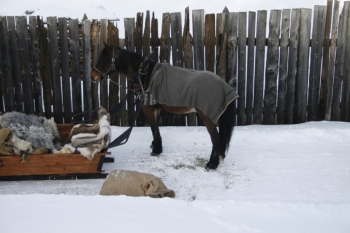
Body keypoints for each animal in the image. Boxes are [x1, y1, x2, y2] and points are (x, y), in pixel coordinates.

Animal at [91, 43, 238, 169]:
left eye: (104, 59)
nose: (93, 76)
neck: (145, 74)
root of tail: (224, 86)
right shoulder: (156, 109)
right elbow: (156, 129)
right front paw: (157, 147)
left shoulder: (148, 109)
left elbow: (154, 129)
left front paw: (156, 150)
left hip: (208, 117)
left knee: (216, 139)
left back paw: (212, 164)